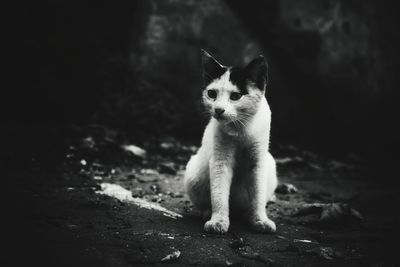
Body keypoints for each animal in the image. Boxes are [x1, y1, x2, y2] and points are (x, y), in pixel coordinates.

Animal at [184, 50, 278, 234]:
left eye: (236, 96)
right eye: (212, 94)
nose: (219, 110)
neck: (240, 129)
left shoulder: (258, 163)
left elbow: (257, 196)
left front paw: (260, 220)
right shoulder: (220, 161)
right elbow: (219, 194)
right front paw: (218, 221)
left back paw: (247, 214)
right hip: (194, 173)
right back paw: (207, 212)